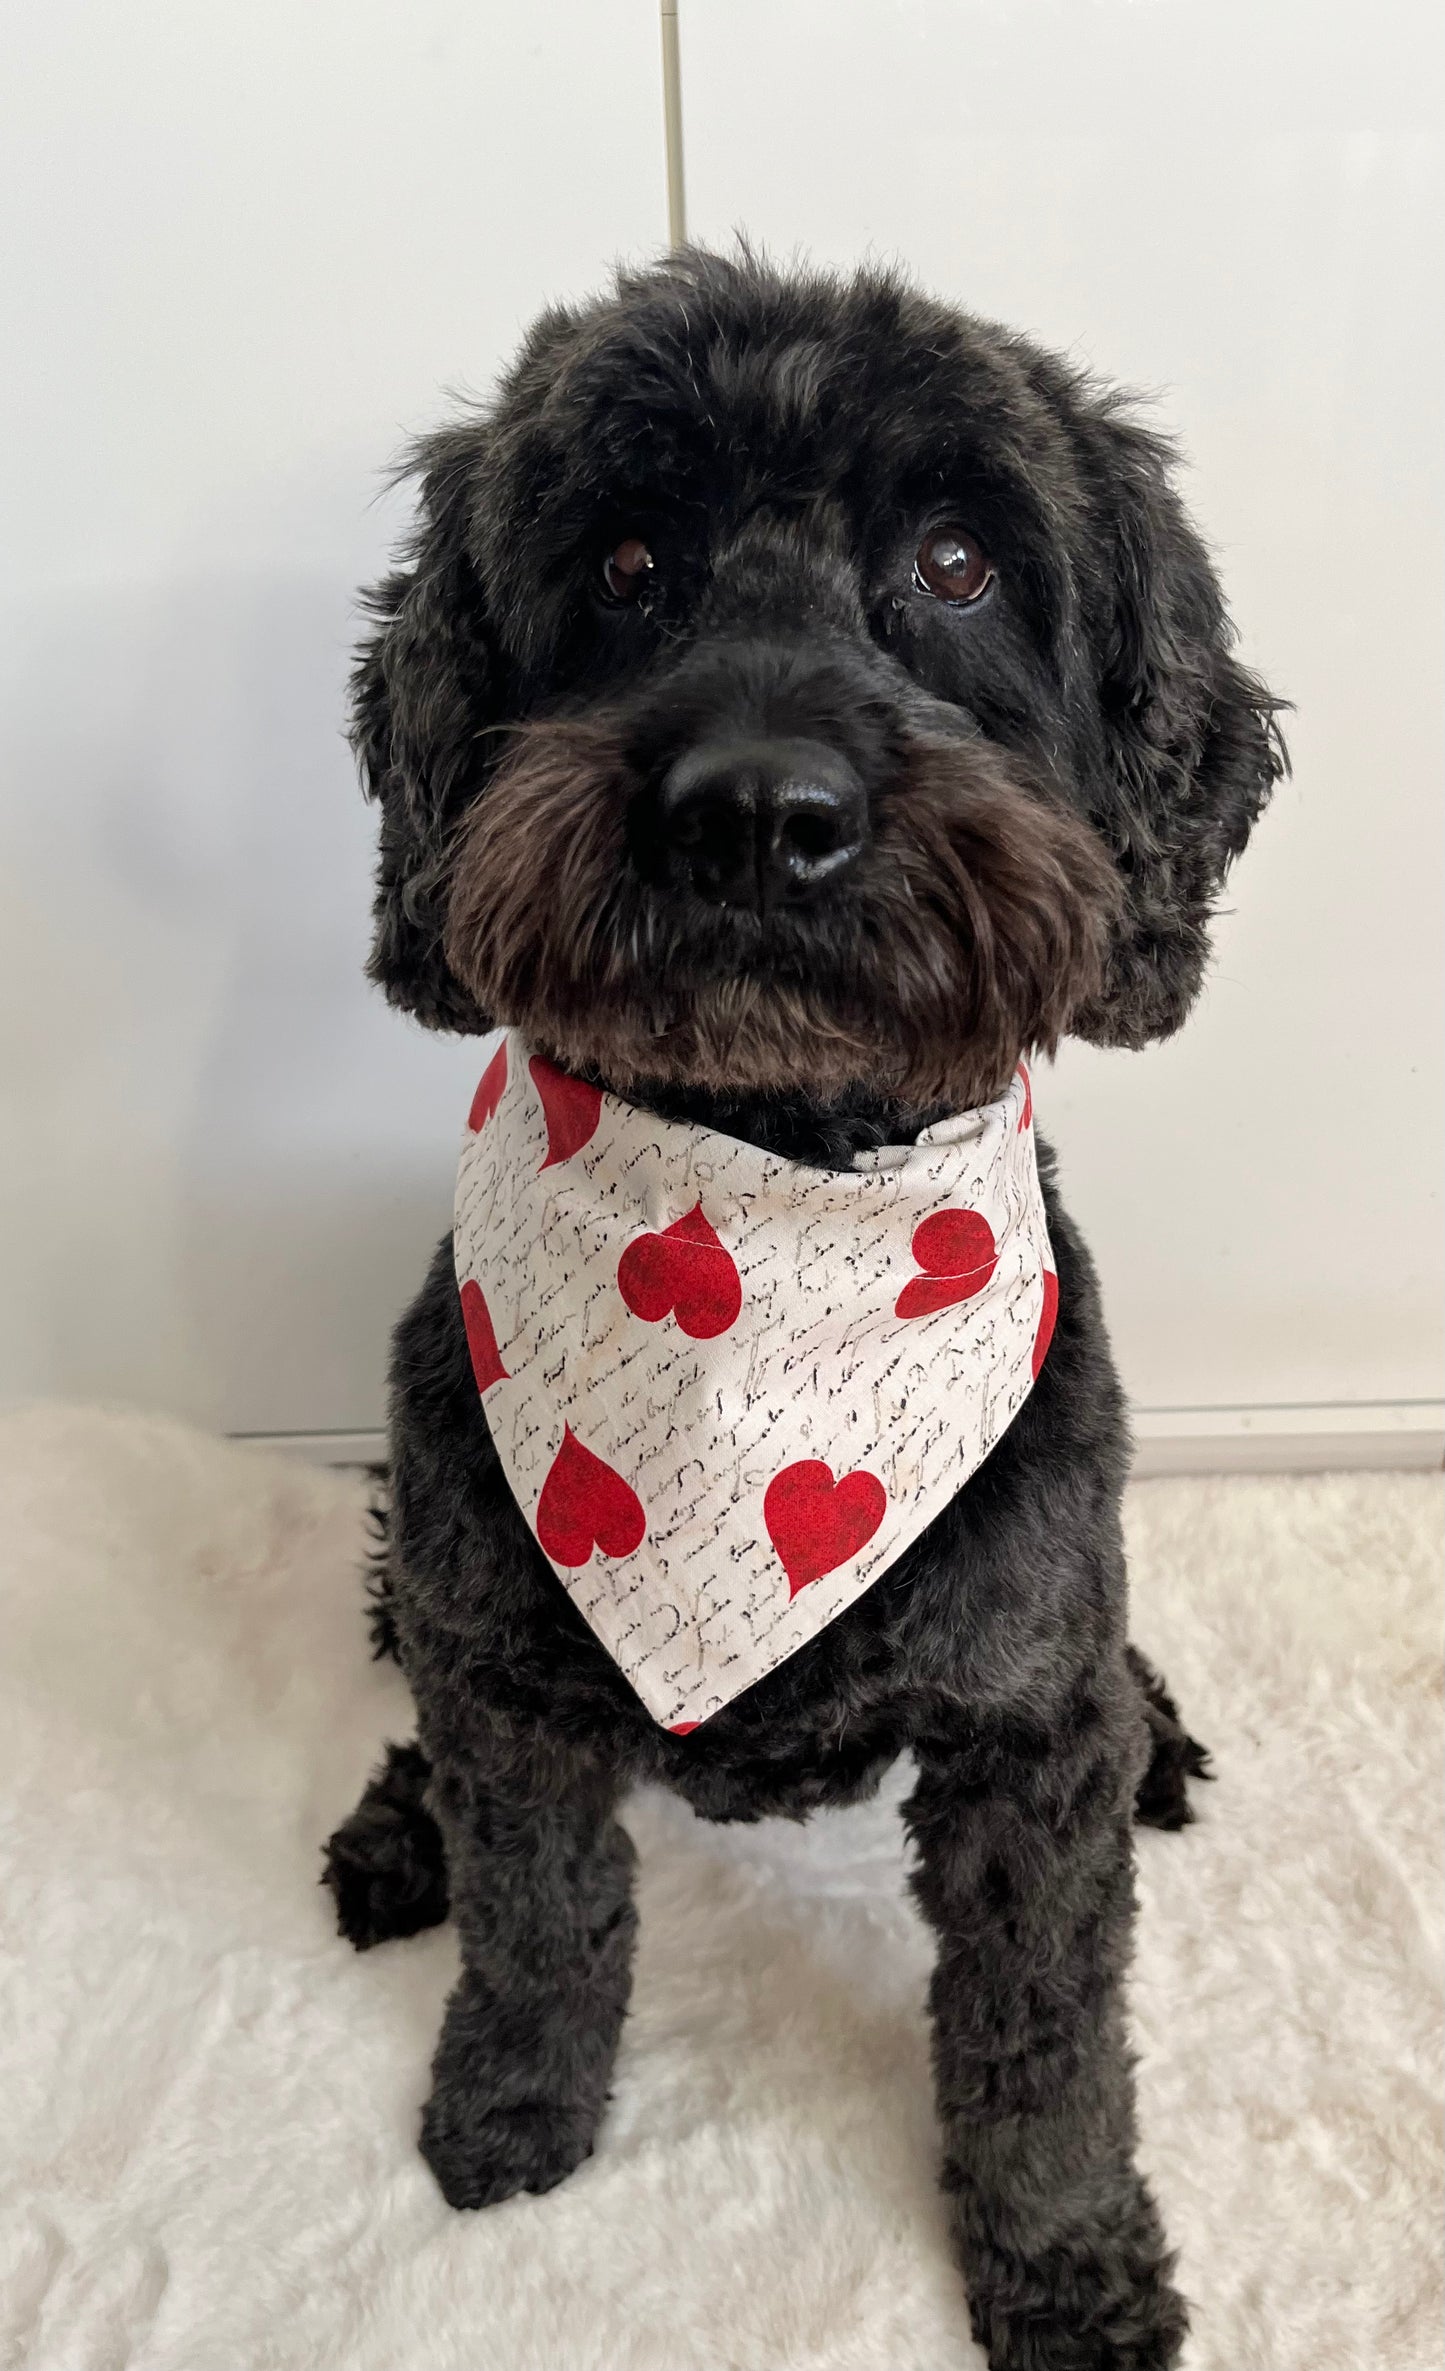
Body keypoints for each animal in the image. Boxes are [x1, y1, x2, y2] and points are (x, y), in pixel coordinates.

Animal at [320, 250, 1281, 2361]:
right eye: (621, 561)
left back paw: (1164, 1737)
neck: (756, 1232)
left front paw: (1069, 2258)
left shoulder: (1024, 1734)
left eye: (957, 562)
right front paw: (508, 2105)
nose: (759, 808)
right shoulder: (504, 1671)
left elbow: (1041, 2027)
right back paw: (393, 1831)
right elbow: (542, 1915)